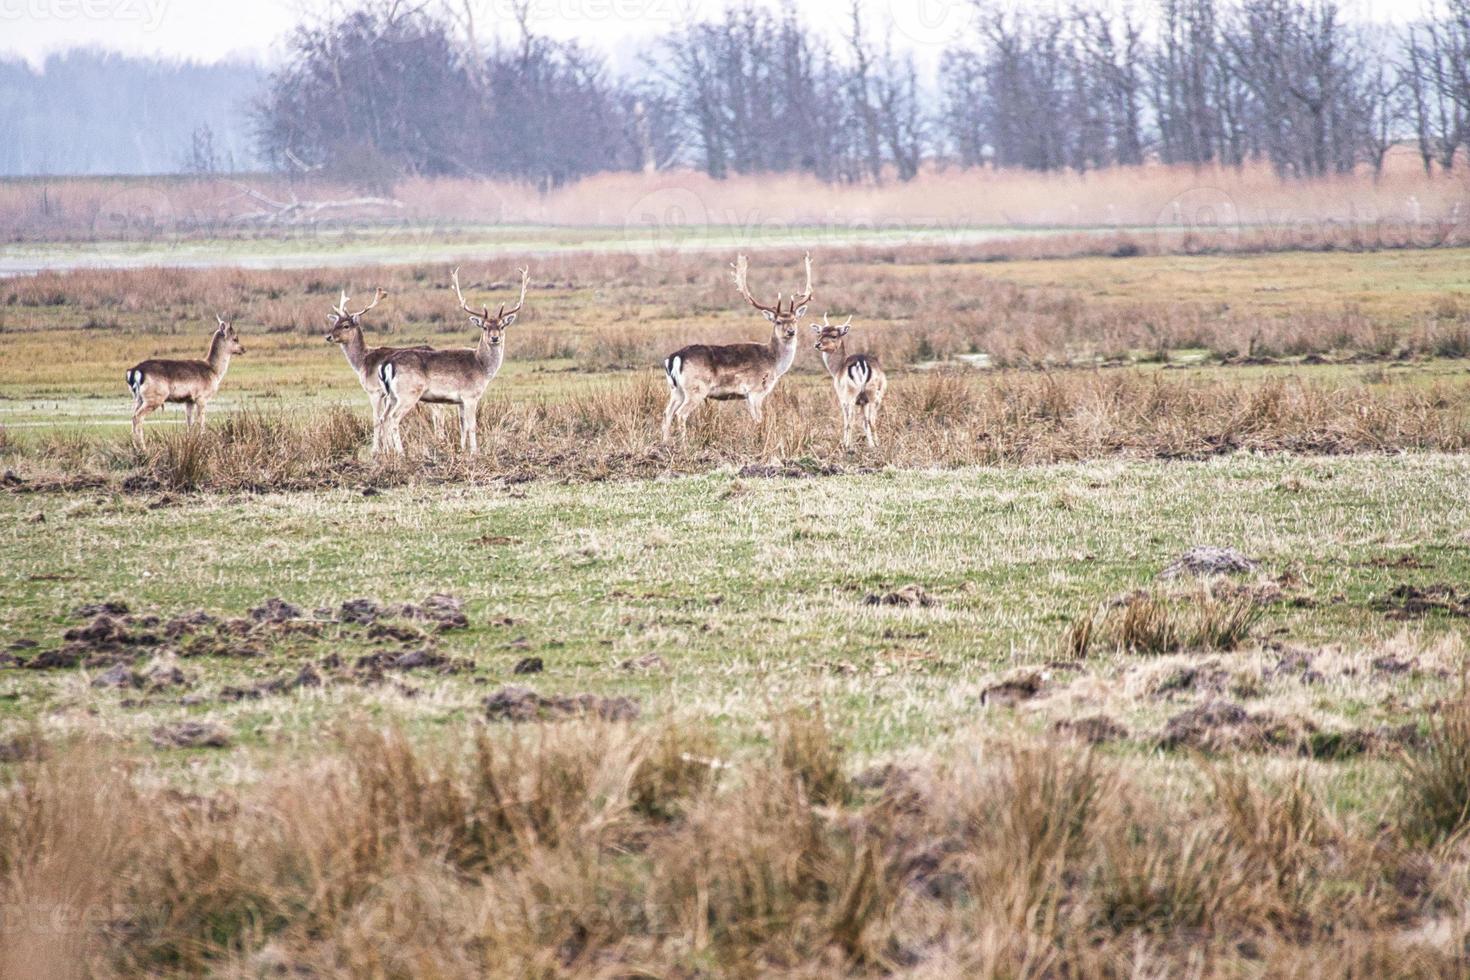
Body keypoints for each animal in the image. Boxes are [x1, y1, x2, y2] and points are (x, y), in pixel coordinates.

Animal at [126, 314, 244, 449]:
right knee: (137, 417)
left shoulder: (189, 401)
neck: (213, 370)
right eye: (235, 338)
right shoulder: (201, 398)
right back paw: (143, 448)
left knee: (133, 417)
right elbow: (201, 422)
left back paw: (135, 447)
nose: (243, 349)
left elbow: (189, 423)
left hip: (138, 399)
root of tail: (135, 371)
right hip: (154, 399)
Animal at [321, 283, 435, 452]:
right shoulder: (387, 395)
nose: (328, 336)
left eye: (346, 325)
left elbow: (377, 418)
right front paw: (387, 448)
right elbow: (384, 418)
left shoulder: (374, 391)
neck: (361, 362)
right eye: (334, 324)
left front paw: (376, 450)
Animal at [373, 265, 529, 455]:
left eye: (501, 326)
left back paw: (386, 453)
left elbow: (462, 426)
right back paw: (401, 453)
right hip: (408, 393)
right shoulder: (470, 395)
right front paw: (475, 452)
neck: (482, 367)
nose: (494, 338)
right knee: (393, 418)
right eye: (485, 327)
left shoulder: (459, 401)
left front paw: (462, 450)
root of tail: (387, 364)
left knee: (383, 418)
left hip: (391, 395)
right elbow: (472, 426)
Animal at [661, 251, 811, 443]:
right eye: (778, 321)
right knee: (681, 414)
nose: (791, 331)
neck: (774, 364)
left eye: (795, 320)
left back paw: (665, 442)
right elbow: (759, 420)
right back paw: (685, 444)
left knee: (667, 413)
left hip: (675, 390)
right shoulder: (755, 391)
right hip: (696, 388)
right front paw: (759, 439)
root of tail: (674, 358)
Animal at [811, 314, 887, 452]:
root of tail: (861, 363)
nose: (817, 344)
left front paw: (844, 443)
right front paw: (871, 445)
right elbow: (865, 421)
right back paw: (877, 445)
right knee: (872, 420)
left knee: (851, 419)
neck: (837, 368)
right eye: (819, 333)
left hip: (851, 394)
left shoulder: (842, 398)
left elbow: (846, 421)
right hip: (875, 394)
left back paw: (849, 447)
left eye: (834, 335)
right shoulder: (863, 401)